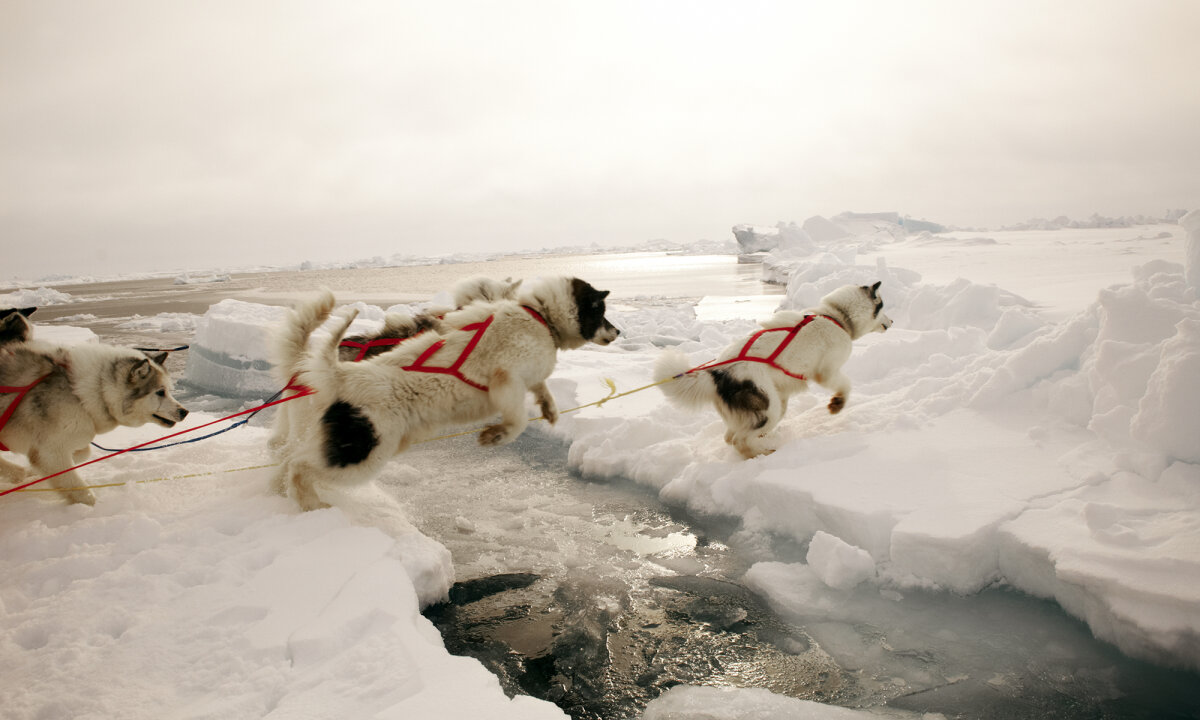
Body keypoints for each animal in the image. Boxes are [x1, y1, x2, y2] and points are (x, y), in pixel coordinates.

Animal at [0, 316, 187, 504]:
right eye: (160, 392)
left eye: (169, 390)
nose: (184, 412)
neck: (94, 389)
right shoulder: (51, 450)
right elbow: (79, 489)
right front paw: (92, 508)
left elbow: (83, 453)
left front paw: (34, 473)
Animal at [266, 277, 614, 511]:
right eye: (601, 311)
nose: (618, 331)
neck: (539, 317)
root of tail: (341, 374)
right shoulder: (506, 380)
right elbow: (516, 422)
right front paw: (496, 435)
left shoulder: (529, 377)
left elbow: (542, 388)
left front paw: (550, 409)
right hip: (363, 453)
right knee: (299, 465)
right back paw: (309, 502)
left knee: (290, 459)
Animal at [657, 279, 892, 456]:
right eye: (883, 306)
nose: (892, 322)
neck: (836, 317)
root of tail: (718, 372)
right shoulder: (827, 372)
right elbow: (846, 385)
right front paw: (838, 404)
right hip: (768, 409)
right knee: (741, 440)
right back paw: (761, 453)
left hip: (765, 407)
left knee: (731, 437)